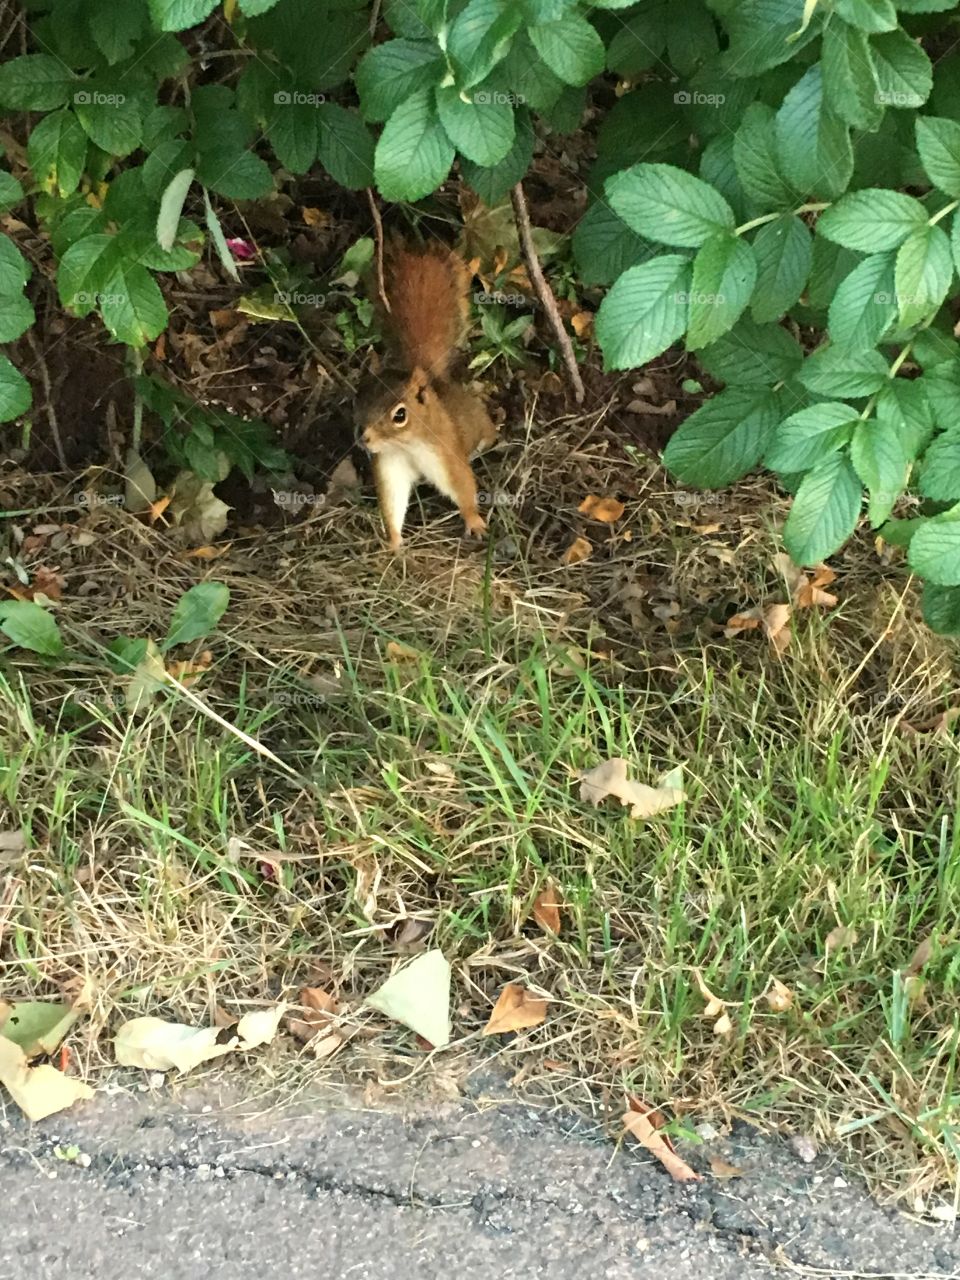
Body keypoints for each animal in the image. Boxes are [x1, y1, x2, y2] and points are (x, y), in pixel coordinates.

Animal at [356, 240, 498, 551]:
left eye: (400, 415)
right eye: (358, 399)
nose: (364, 439)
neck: (406, 445)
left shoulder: (446, 454)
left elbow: (463, 487)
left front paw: (474, 522)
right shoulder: (390, 467)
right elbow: (393, 503)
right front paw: (394, 543)